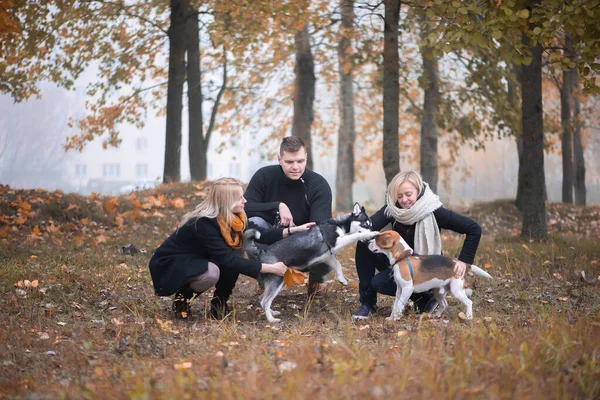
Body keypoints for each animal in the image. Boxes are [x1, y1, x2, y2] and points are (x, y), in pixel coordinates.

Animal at [243, 203, 376, 322]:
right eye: (366, 224)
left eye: (371, 224)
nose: (372, 239)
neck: (339, 225)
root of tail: (262, 252)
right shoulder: (337, 242)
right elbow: (355, 236)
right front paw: (371, 233)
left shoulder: (328, 256)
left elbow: (338, 265)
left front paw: (341, 279)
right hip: (276, 279)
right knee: (264, 301)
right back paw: (271, 320)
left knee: (263, 298)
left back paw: (272, 312)